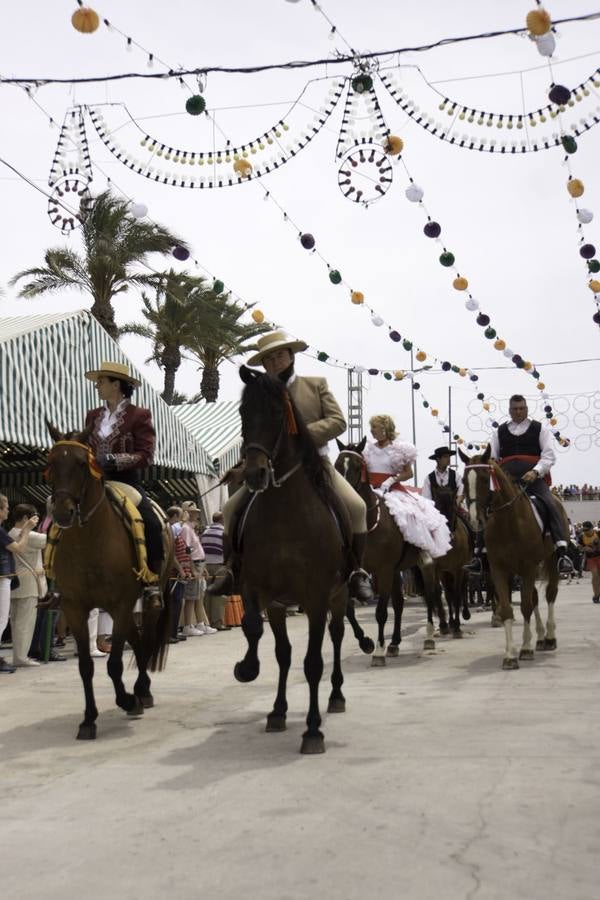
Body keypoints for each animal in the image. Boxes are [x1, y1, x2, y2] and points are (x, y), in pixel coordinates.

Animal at [45, 428, 172, 740]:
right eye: (51, 462)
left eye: (81, 463)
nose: (63, 512)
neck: (89, 541)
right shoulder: (76, 608)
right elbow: (85, 666)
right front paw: (88, 719)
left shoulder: (121, 603)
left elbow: (114, 664)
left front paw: (126, 699)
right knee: (136, 641)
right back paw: (141, 692)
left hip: (145, 602)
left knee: (146, 639)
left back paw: (141, 692)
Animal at [233, 366, 358, 752]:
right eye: (243, 413)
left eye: (277, 414)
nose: (254, 474)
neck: (285, 515)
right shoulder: (261, 591)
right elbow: (261, 635)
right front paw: (251, 674)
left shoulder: (315, 597)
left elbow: (313, 662)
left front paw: (313, 730)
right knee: (285, 652)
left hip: (339, 595)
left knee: (337, 635)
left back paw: (337, 696)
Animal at [336, 440, 448, 664]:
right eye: (336, 465)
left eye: (356, 467)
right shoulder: (357, 573)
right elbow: (348, 609)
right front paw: (366, 642)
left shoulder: (384, 570)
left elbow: (380, 612)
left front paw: (378, 652)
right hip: (396, 571)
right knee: (398, 603)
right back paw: (395, 643)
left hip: (425, 566)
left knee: (431, 595)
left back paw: (429, 638)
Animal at [460, 446, 564, 672]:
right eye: (463, 480)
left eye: (484, 478)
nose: (475, 520)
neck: (508, 521)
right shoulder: (499, 570)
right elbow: (508, 609)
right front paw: (510, 655)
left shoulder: (528, 568)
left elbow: (525, 606)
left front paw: (525, 649)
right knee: (535, 597)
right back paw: (540, 637)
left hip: (550, 561)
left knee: (550, 594)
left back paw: (550, 637)